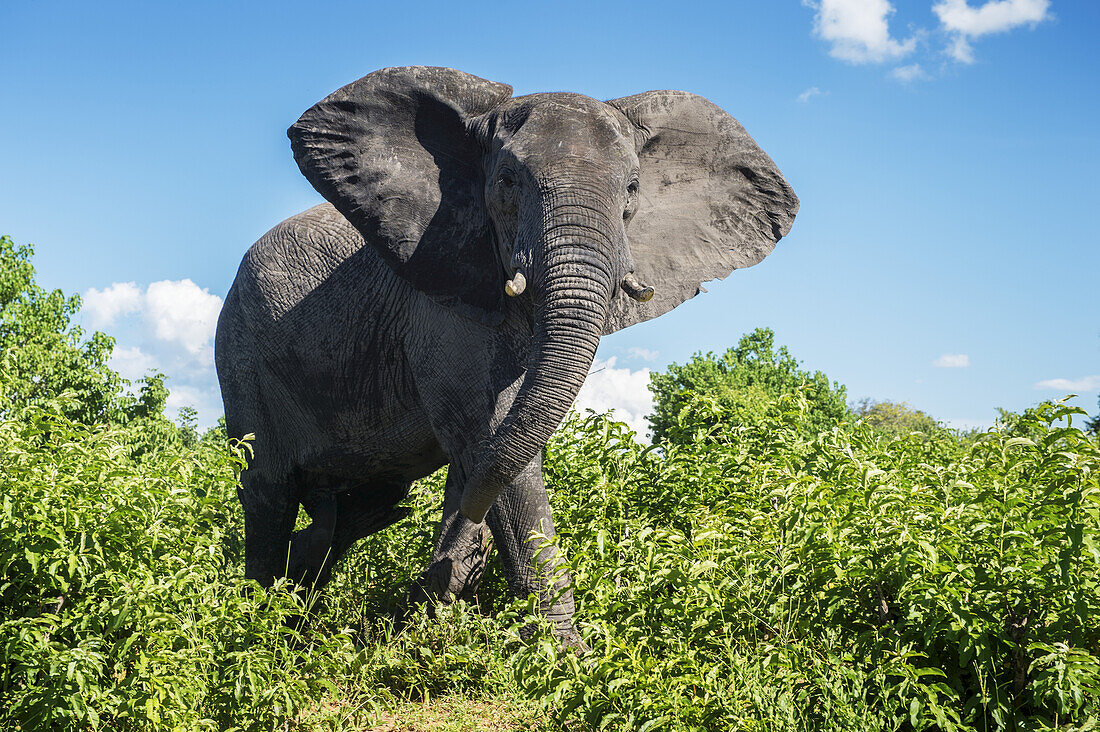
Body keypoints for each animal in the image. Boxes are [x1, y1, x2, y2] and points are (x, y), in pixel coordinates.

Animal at [214, 65, 800, 642]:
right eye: (506, 182)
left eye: (633, 189)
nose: (440, 573)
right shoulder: (442, 305)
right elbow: (490, 442)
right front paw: (566, 659)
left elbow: (489, 450)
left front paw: (443, 597)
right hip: (240, 354)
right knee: (268, 490)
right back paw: (258, 626)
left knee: (360, 507)